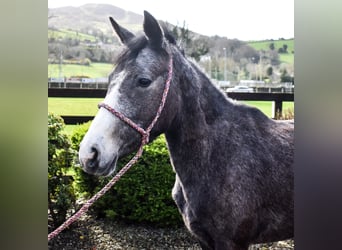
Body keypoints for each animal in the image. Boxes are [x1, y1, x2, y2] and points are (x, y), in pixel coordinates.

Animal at [78, 10, 294, 249]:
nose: (90, 153)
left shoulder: (232, 242)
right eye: (109, 80)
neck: (220, 154)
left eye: (143, 81)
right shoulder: (204, 239)